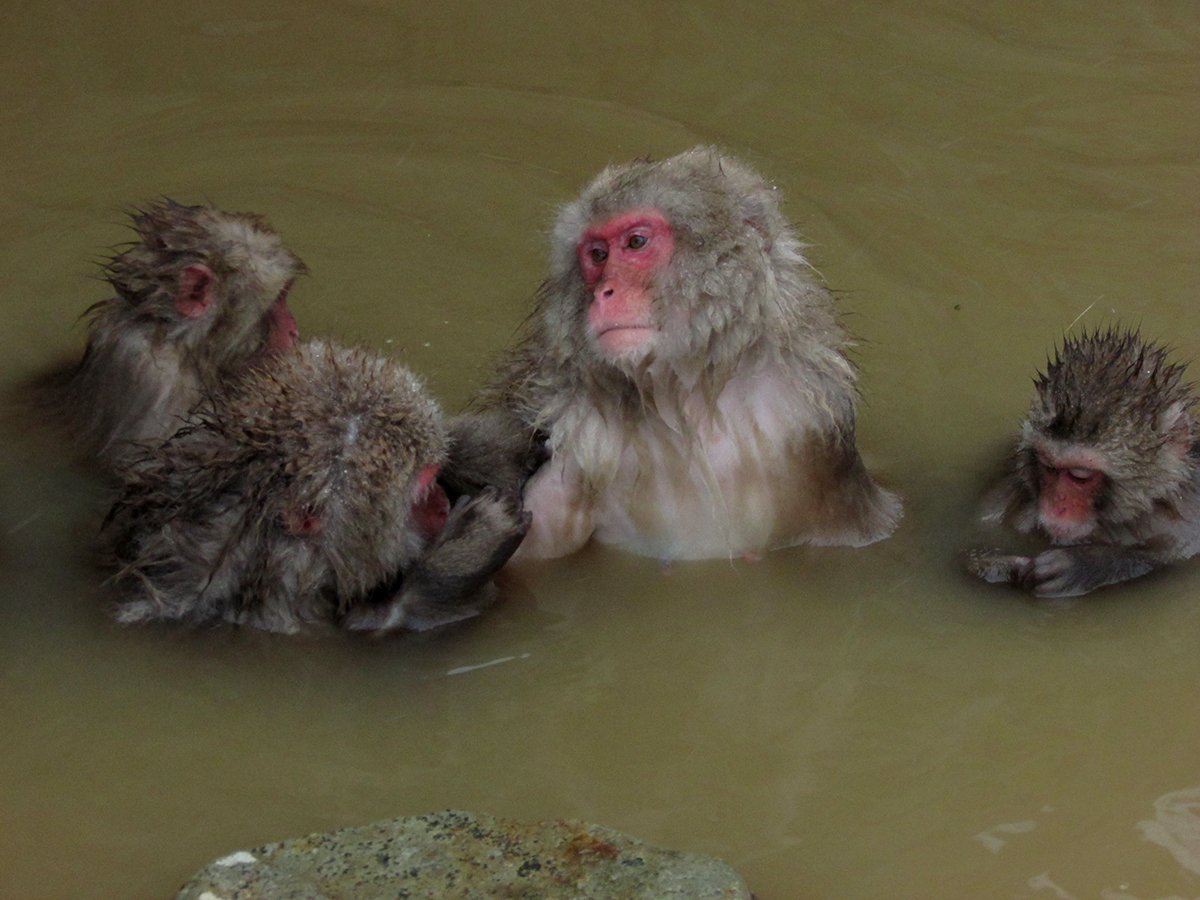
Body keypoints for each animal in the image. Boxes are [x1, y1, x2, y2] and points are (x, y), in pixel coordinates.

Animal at [102, 340, 530, 635]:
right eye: (422, 495)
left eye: (434, 474)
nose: (441, 503)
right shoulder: (280, 603)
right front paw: (468, 549)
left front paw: (484, 450)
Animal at [453, 146, 901, 561]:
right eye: (597, 255)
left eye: (636, 242)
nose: (603, 293)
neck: (687, 399)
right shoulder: (574, 450)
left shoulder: (809, 424)